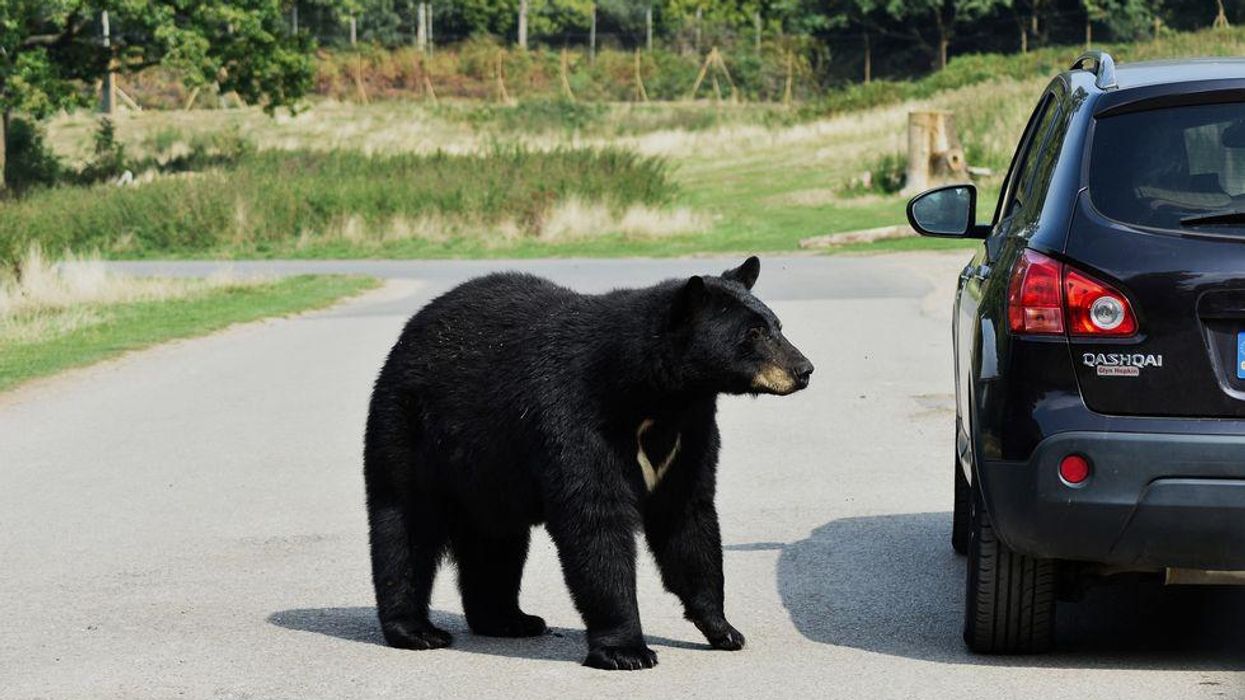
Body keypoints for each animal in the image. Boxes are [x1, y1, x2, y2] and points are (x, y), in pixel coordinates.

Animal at [366, 255, 816, 662]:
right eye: (753, 332)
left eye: (777, 325)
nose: (805, 369)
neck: (655, 396)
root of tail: (411, 330)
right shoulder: (577, 416)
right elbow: (596, 521)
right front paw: (626, 650)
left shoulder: (690, 433)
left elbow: (688, 518)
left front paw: (723, 629)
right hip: (408, 428)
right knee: (404, 525)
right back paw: (416, 630)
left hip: (489, 470)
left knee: (496, 541)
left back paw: (509, 620)